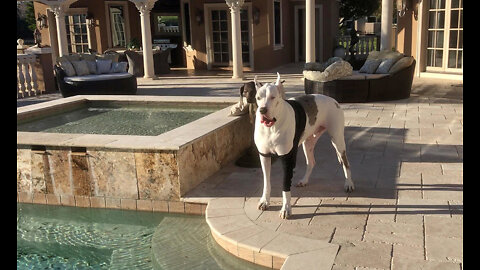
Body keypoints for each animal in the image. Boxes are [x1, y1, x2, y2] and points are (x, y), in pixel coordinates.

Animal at [255, 73, 352, 218]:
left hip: (338, 140)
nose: (262, 110)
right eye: (258, 98)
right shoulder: (264, 156)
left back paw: (349, 183)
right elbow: (266, 182)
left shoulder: (287, 158)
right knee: (311, 162)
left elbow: (285, 186)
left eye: (273, 97)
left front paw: (286, 208)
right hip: (308, 143)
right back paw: (304, 180)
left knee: (346, 163)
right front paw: (264, 201)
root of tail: (333, 100)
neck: (271, 127)